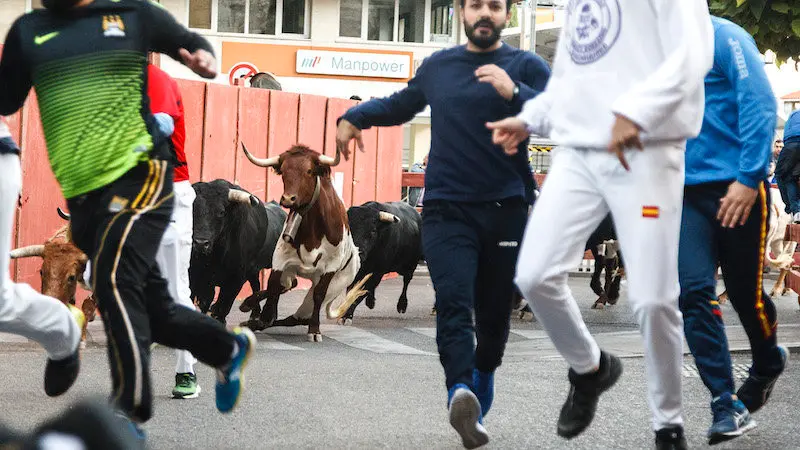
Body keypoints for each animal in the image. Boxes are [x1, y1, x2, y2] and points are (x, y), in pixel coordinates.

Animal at [189, 178, 290, 322]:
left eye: (221, 212)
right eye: (191, 209)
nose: (201, 243)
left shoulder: (236, 279)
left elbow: (223, 307)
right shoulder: (197, 276)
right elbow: (204, 302)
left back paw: (269, 316)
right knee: (256, 284)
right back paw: (254, 314)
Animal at [233, 143, 368, 342]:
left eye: (309, 171)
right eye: (283, 171)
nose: (288, 198)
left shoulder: (330, 268)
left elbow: (318, 295)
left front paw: (315, 330)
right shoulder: (281, 259)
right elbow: (274, 286)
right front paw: (259, 311)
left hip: (334, 287)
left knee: (299, 315)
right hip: (291, 271)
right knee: (288, 287)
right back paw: (253, 317)